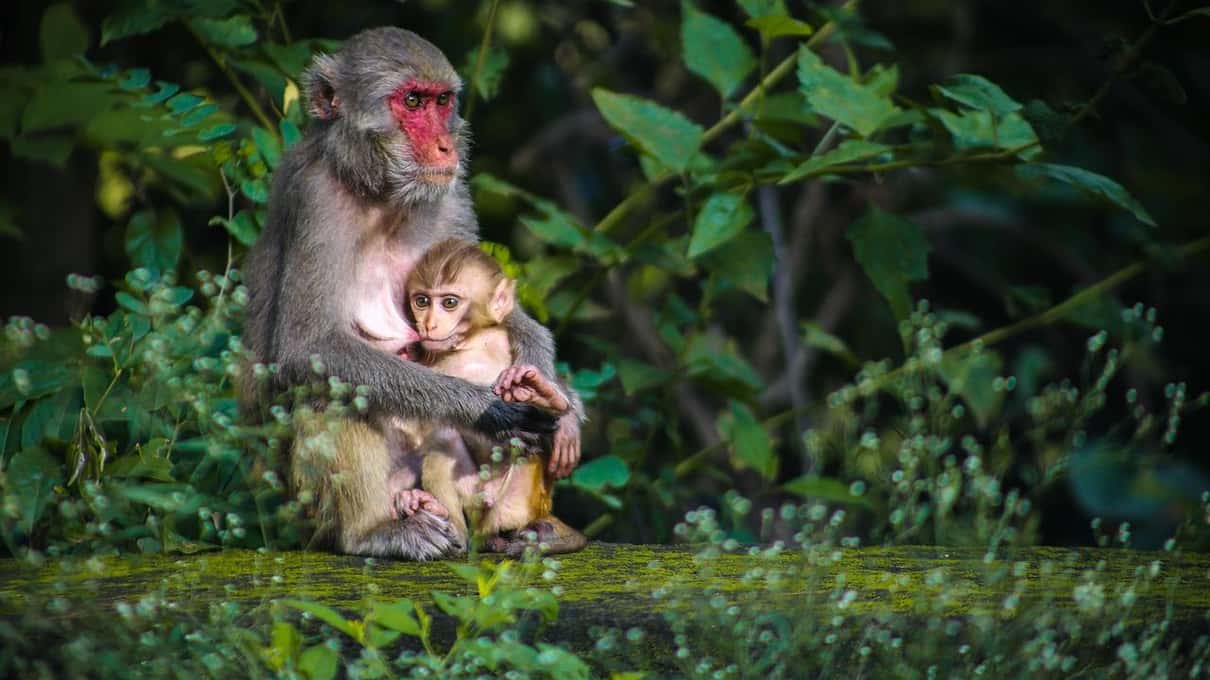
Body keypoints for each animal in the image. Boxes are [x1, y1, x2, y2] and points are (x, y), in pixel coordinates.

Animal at [397, 238, 586, 556]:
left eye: (449, 303)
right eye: (421, 301)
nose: (429, 324)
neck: (468, 344)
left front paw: (544, 397)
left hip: (518, 502)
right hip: (475, 501)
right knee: (444, 438)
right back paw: (445, 520)